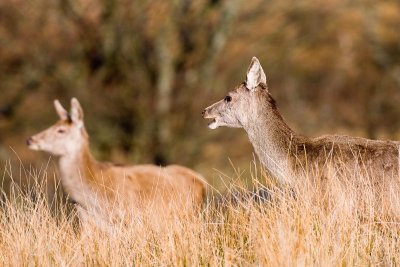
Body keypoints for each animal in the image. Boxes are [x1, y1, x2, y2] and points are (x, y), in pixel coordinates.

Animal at [27, 98, 206, 228]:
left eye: (61, 130)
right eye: (54, 125)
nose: (31, 139)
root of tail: (202, 181)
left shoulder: (128, 218)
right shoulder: (87, 221)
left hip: (189, 216)